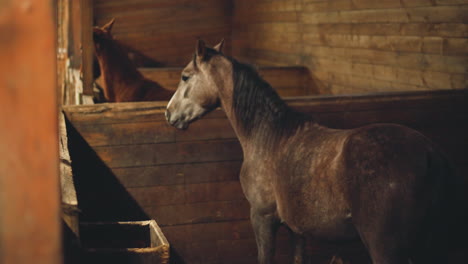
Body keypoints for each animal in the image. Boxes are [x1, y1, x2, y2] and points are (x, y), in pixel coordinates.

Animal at [165, 40, 464, 262]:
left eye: (185, 76)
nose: (168, 113)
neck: (270, 137)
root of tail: (430, 155)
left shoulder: (262, 218)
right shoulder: (297, 229)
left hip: (385, 249)